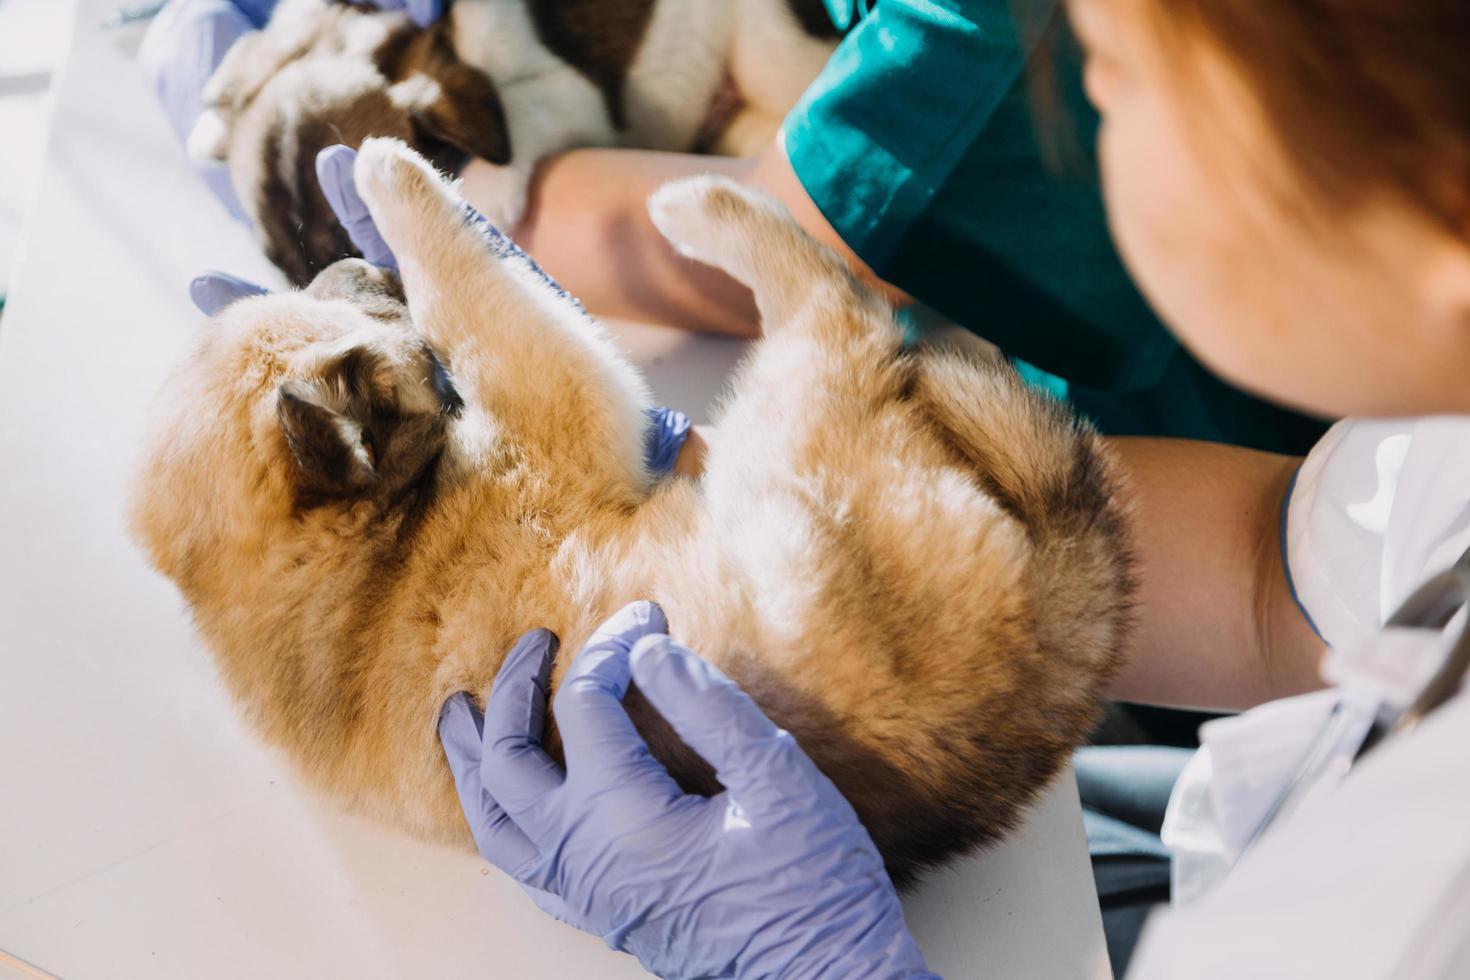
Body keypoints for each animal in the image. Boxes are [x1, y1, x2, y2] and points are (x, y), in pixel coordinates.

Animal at [132, 139, 1128, 887]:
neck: (355, 583)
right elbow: (470, 291)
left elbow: (464, 292)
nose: (350, 265)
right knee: (844, 307)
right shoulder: (555, 391)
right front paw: (392, 170)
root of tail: (1049, 673)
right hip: (794, 406)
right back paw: (697, 207)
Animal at [183, 0, 840, 287]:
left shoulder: (572, 90)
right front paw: (216, 108)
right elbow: (273, 42)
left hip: (767, 47)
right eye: (284, 270)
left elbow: (518, 112)